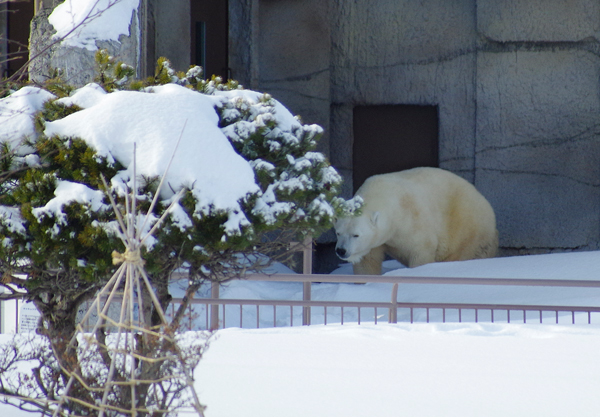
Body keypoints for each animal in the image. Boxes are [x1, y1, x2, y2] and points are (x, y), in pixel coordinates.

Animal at [336, 167, 500, 274]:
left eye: (356, 234)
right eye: (338, 232)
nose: (341, 250)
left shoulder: (411, 219)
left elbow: (421, 250)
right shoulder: (376, 241)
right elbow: (367, 261)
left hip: (467, 229)